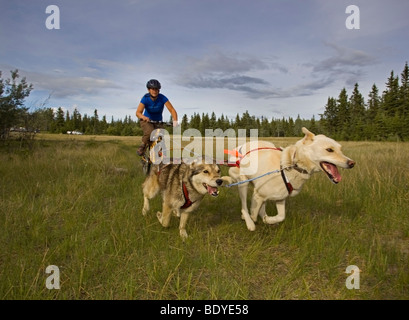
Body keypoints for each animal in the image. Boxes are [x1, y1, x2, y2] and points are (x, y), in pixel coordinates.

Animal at [226, 127, 354, 230]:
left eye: (340, 149)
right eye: (329, 150)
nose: (352, 163)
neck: (290, 166)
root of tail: (238, 148)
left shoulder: (280, 198)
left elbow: (281, 216)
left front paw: (269, 220)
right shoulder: (259, 195)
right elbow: (253, 213)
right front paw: (252, 219)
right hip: (243, 183)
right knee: (244, 207)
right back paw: (249, 222)